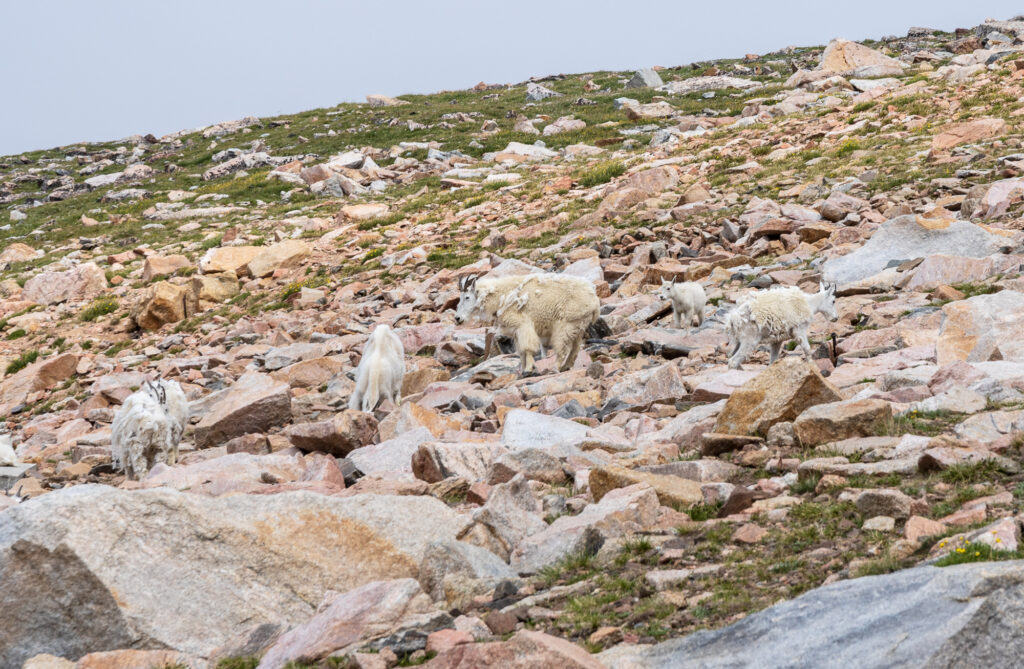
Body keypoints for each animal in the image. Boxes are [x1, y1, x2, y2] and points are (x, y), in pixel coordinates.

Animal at [454, 272, 598, 374]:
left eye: (467, 297)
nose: (457, 318)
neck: (499, 297)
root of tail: (593, 300)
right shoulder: (515, 331)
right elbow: (521, 352)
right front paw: (523, 370)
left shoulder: (522, 325)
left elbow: (527, 348)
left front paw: (528, 368)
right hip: (578, 325)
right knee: (575, 349)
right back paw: (566, 367)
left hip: (566, 324)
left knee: (563, 348)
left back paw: (555, 368)